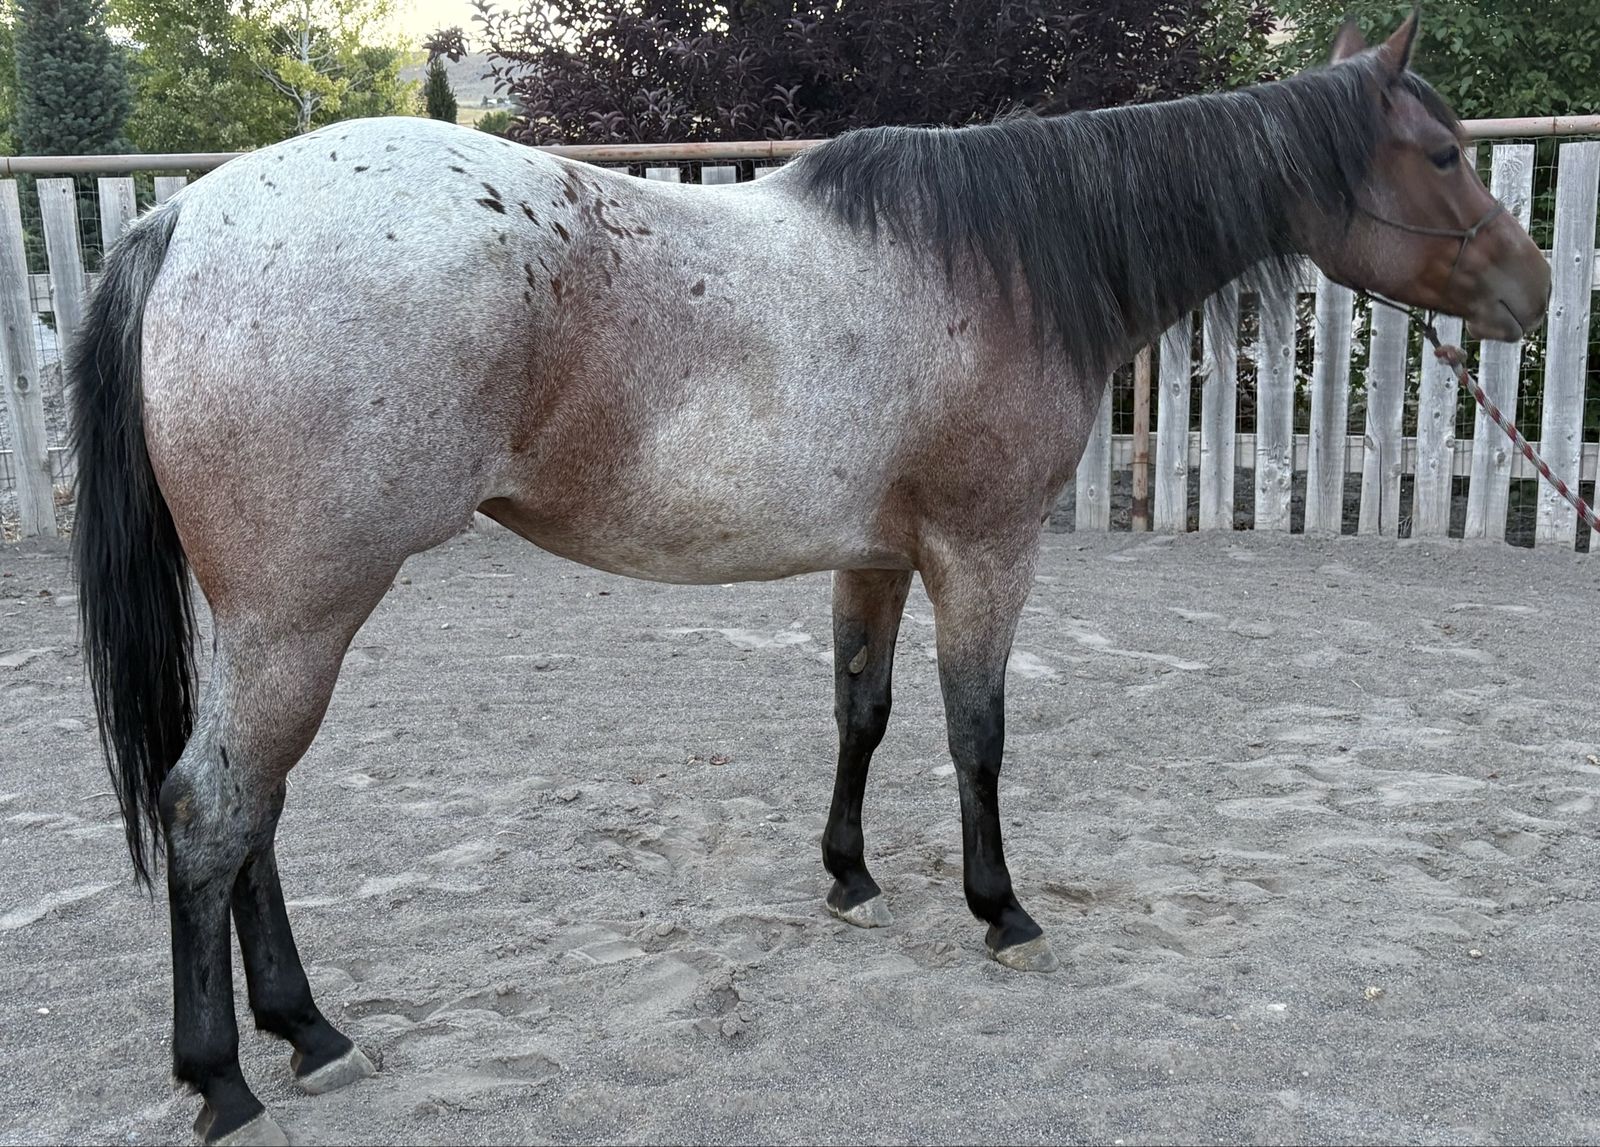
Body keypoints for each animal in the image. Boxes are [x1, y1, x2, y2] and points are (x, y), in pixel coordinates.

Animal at [69, 13, 1548, 1145]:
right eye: (1439, 153)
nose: (1532, 293)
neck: (998, 262)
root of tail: (186, 215)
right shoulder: (983, 552)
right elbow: (975, 733)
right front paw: (1000, 909)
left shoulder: (875, 558)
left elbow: (862, 713)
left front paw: (848, 876)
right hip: (302, 613)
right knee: (214, 806)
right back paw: (230, 1075)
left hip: (271, 620)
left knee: (251, 810)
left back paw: (306, 1028)